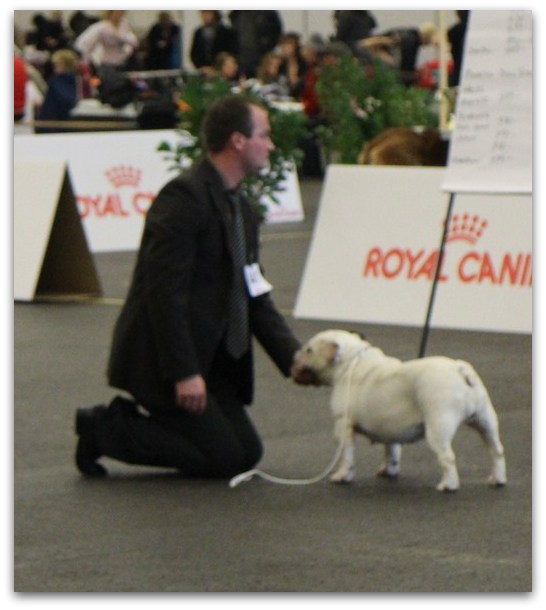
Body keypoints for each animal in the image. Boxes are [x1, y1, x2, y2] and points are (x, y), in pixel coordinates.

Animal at [288, 328, 506, 490]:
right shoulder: (390, 428)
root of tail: (460, 369)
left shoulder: (343, 426)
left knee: (447, 457)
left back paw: (448, 485)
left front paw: (342, 476)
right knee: (496, 450)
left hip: (438, 427)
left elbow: (347, 456)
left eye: (309, 351)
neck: (351, 362)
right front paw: (389, 471)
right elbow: (391, 451)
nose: (295, 355)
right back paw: (498, 479)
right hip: (486, 421)